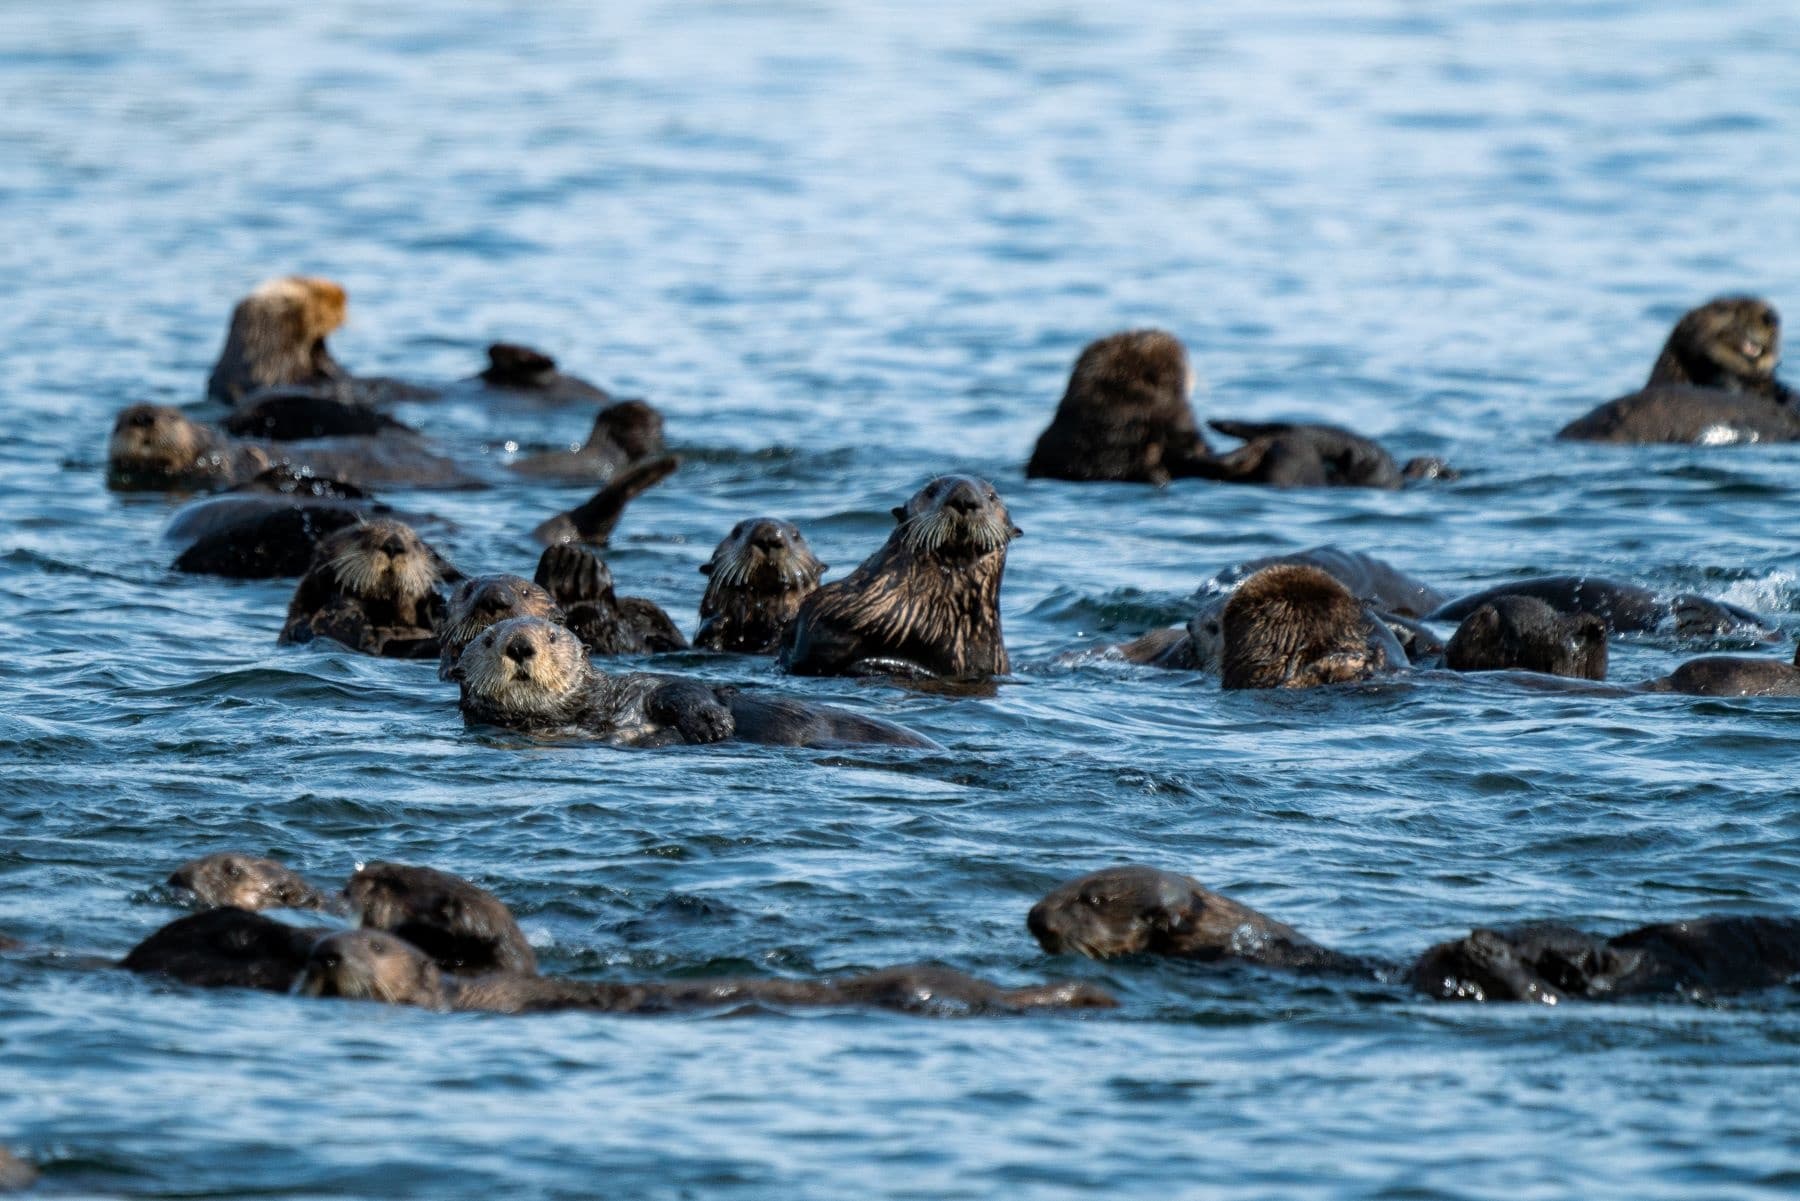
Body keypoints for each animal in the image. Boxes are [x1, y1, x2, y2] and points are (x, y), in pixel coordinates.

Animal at [458, 616, 931, 749]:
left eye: (553, 636)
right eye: (489, 638)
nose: (520, 644)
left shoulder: (642, 685)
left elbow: (683, 689)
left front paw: (711, 725)